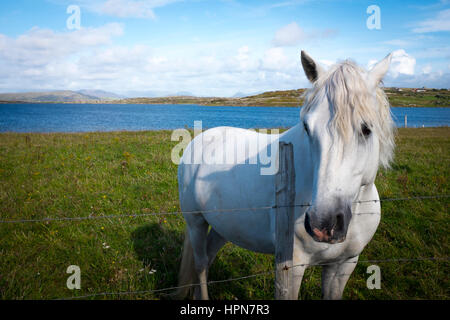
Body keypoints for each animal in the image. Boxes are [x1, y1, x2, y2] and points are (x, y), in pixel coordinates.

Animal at [174, 50, 396, 300]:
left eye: (367, 129)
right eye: (307, 127)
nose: (323, 224)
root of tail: (198, 140)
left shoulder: (344, 264)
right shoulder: (292, 266)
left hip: (224, 225)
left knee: (209, 256)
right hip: (196, 222)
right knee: (201, 264)